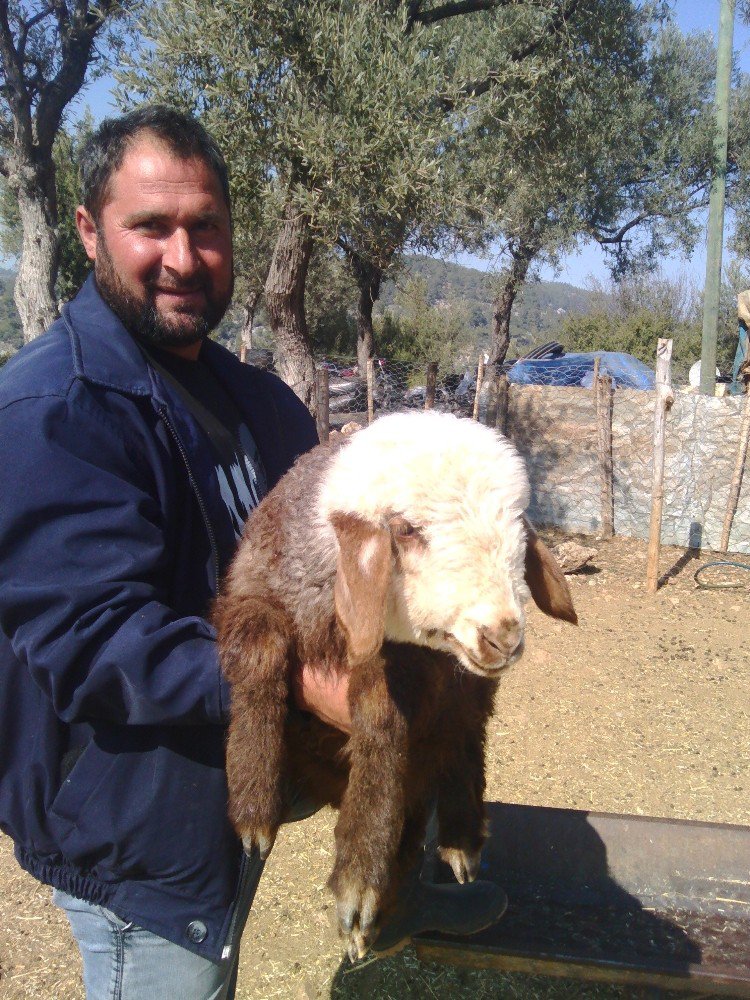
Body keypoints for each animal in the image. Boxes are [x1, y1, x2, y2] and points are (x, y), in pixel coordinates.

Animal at [214, 408, 580, 960]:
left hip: (462, 708)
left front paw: (358, 878)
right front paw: (254, 802)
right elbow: (260, 653)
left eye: (518, 525)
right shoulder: (250, 592)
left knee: (460, 748)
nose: (504, 637)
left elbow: (383, 725)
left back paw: (454, 844)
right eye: (406, 530)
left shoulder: (413, 669)